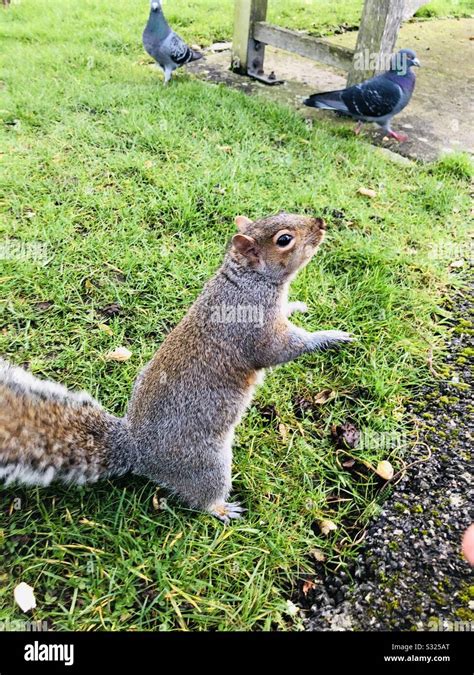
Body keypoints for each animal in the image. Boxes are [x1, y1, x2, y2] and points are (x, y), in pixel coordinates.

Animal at [0, 214, 354, 520]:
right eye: (284, 240)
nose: (321, 223)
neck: (249, 280)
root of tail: (137, 450)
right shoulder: (255, 330)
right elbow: (281, 350)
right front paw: (329, 337)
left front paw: (298, 306)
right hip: (206, 463)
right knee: (202, 496)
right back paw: (221, 509)